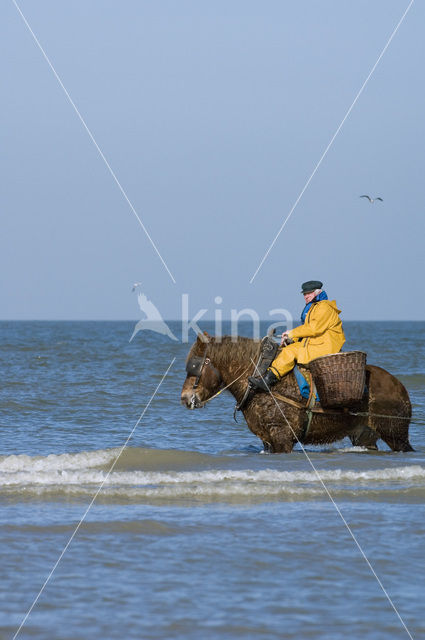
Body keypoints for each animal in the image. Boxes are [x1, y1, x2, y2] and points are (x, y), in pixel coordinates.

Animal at [181, 336, 412, 456]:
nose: (184, 397)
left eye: (197, 365)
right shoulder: (268, 439)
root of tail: (399, 386)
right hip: (365, 435)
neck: (260, 382)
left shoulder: (282, 436)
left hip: (395, 433)